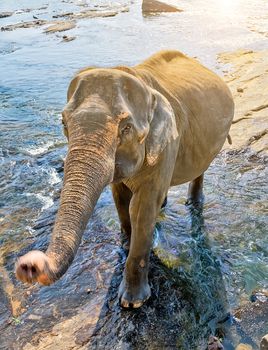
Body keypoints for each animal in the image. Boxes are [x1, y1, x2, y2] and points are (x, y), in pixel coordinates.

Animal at [14, 50, 233, 308]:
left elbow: (142, 208)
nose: (28, 265)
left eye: (126, 128)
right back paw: (165, 204)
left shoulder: (168, 144)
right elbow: (120, 198)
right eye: (63, 123)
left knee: (200, 170)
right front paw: (126, 244)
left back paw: (193, 202)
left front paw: (132, 303)